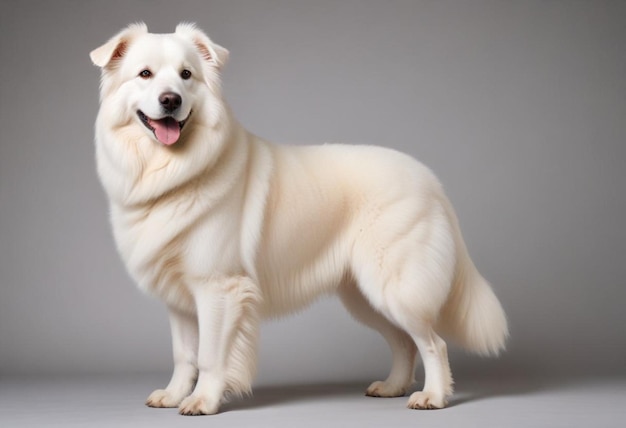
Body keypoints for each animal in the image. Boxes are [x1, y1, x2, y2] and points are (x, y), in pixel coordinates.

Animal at [90, 22, 504, 414]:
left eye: (186, 75)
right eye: (145, 74)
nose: (171, 100)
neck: (173, 171)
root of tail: (430, 180)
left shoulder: (218, 289)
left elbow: (209, 357)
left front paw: (203, 401)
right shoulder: (179, 300)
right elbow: (184, 354)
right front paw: (175, 395)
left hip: (394, 288)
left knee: (434, 343)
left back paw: (432, 396)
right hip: (364, 296)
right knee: (405, 342)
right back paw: (393, 387)